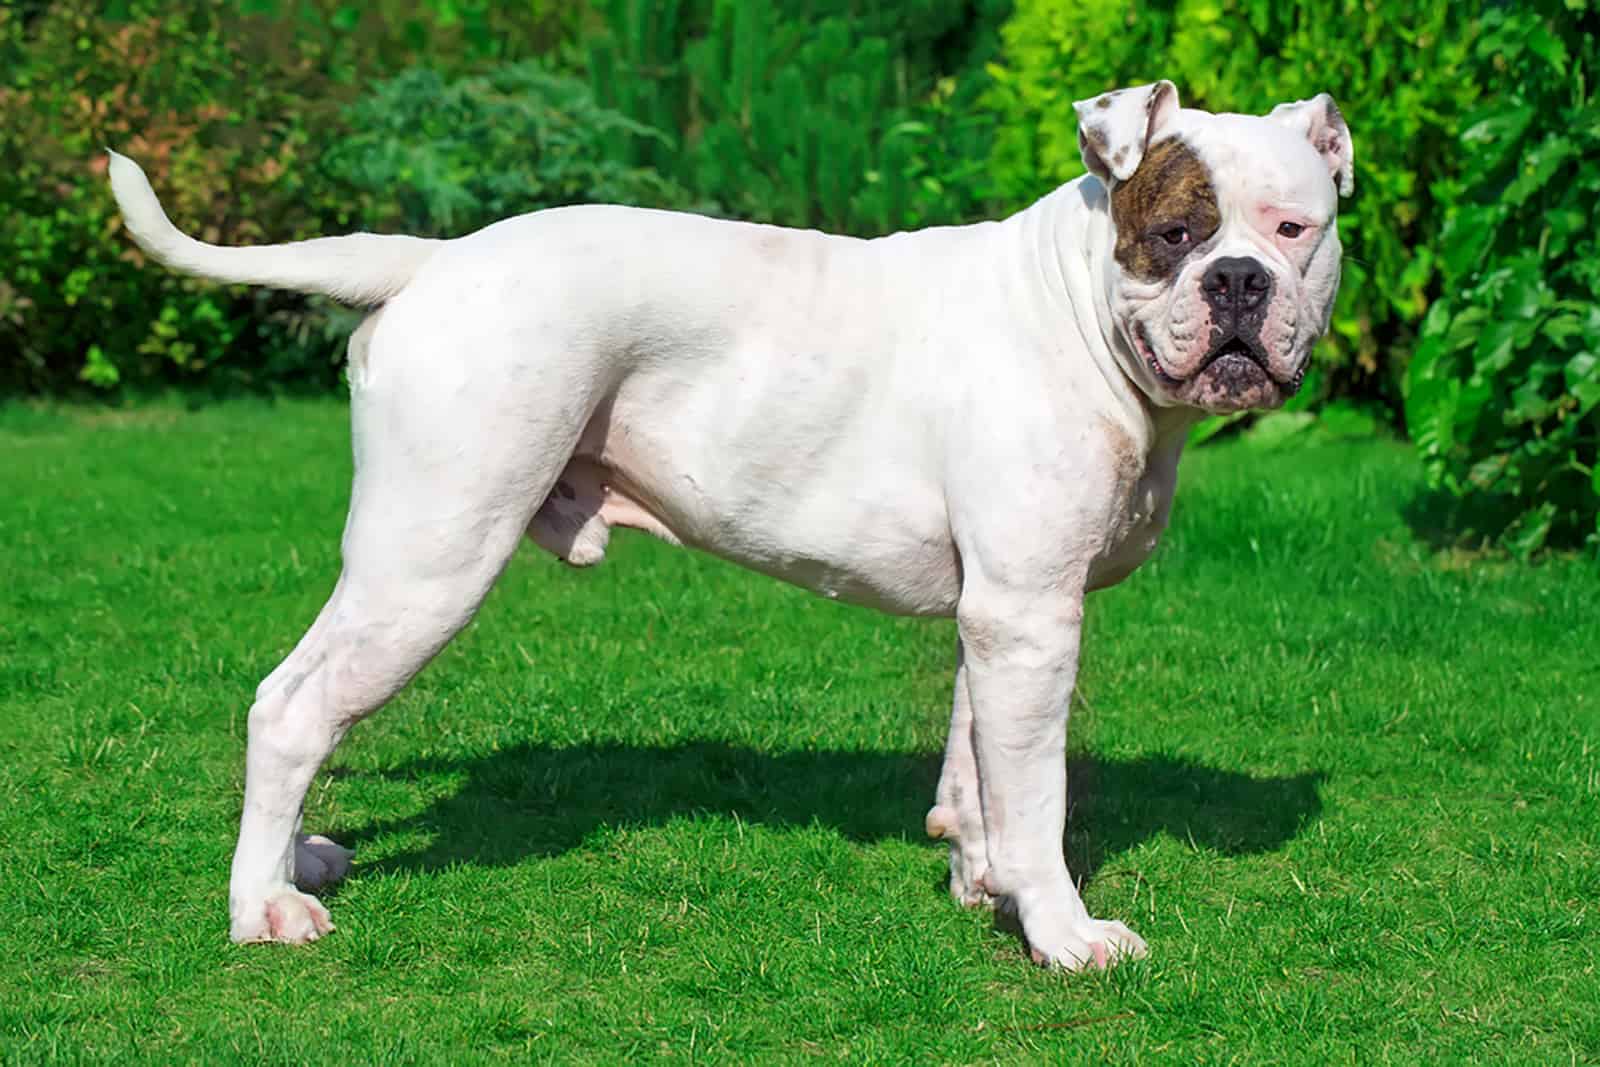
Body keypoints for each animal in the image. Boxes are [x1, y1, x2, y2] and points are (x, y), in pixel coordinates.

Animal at [106, 79, 1350, 972]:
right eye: (1177, 232)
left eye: (1296, 227)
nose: (1240, 282)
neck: (1076, 301)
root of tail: (435, 257)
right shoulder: (1034, 617)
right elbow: (1037, 795)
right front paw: (1061, 929)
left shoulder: (997, 614)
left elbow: (974, 767)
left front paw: (977, 878)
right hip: (431, 556)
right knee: (292, 705)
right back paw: (261, 906)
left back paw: (297, 862)